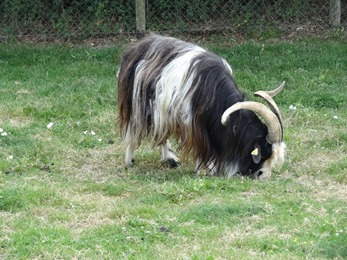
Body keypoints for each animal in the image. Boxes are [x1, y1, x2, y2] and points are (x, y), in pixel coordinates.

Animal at [118, 34, 286, 179]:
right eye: (265, 152)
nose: (263, 175)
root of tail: (136, 47)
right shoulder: (195, 123)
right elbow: (202, 145)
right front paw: (204, 169)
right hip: (136, 103)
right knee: (133, 128)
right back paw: (130, 161)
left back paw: (170, 160)